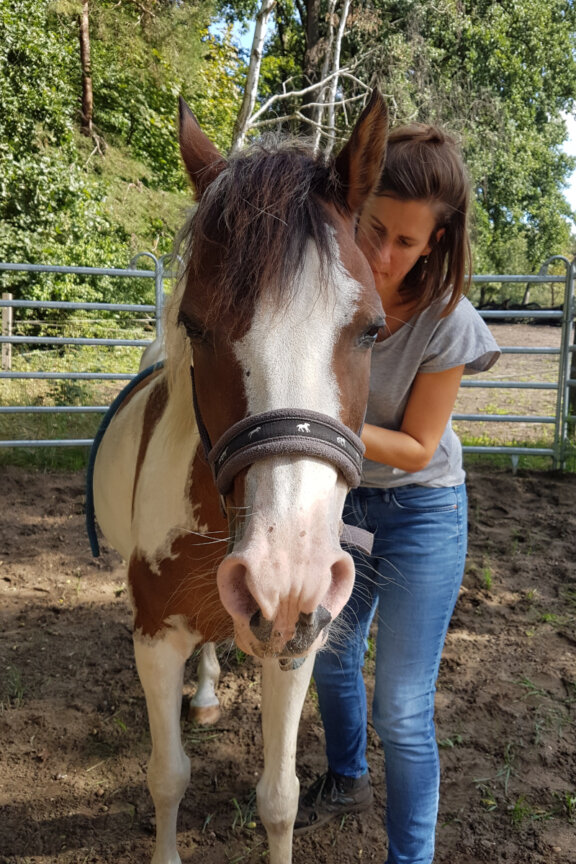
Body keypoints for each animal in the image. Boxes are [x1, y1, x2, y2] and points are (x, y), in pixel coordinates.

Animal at [89, 90, 388, 864]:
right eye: (196, 325)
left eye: (372, 329)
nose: (284, 580)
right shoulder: (155, 637)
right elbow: (167, 777)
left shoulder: (295, 646)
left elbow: (279, 799)